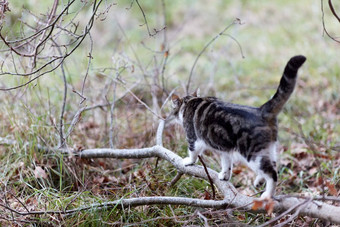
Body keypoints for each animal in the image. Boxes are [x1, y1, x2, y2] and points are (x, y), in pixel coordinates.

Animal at [169, 55, 306, 200]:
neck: (191, 101)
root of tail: (261, 110)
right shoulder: (224, 148)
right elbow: (226, 163)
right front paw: (225, 175)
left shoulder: (193, 137)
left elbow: (193, 152)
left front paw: (189, 161)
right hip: (269, 148)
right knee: (274, 165)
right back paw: (259, 181)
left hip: (252, 152)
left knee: (272, 173)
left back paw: (267, 195)